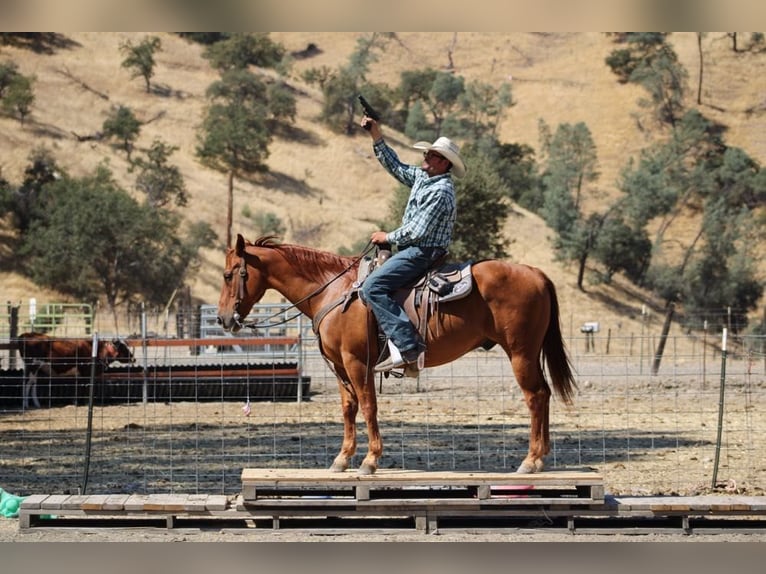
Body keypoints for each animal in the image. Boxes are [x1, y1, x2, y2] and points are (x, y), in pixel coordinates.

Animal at [218, 234, 576, 476]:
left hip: (520, 353)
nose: (223, 319)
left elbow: (368, 407)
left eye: (228, 274)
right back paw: (541, 459)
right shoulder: (340, 367)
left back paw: (530, 461)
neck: (334, 290)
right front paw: (342, 459)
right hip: (529, 353)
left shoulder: (357, 362)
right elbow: (348, 409)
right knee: (544, 394)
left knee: (535, 397)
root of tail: (535, 273)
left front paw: (370, 460)